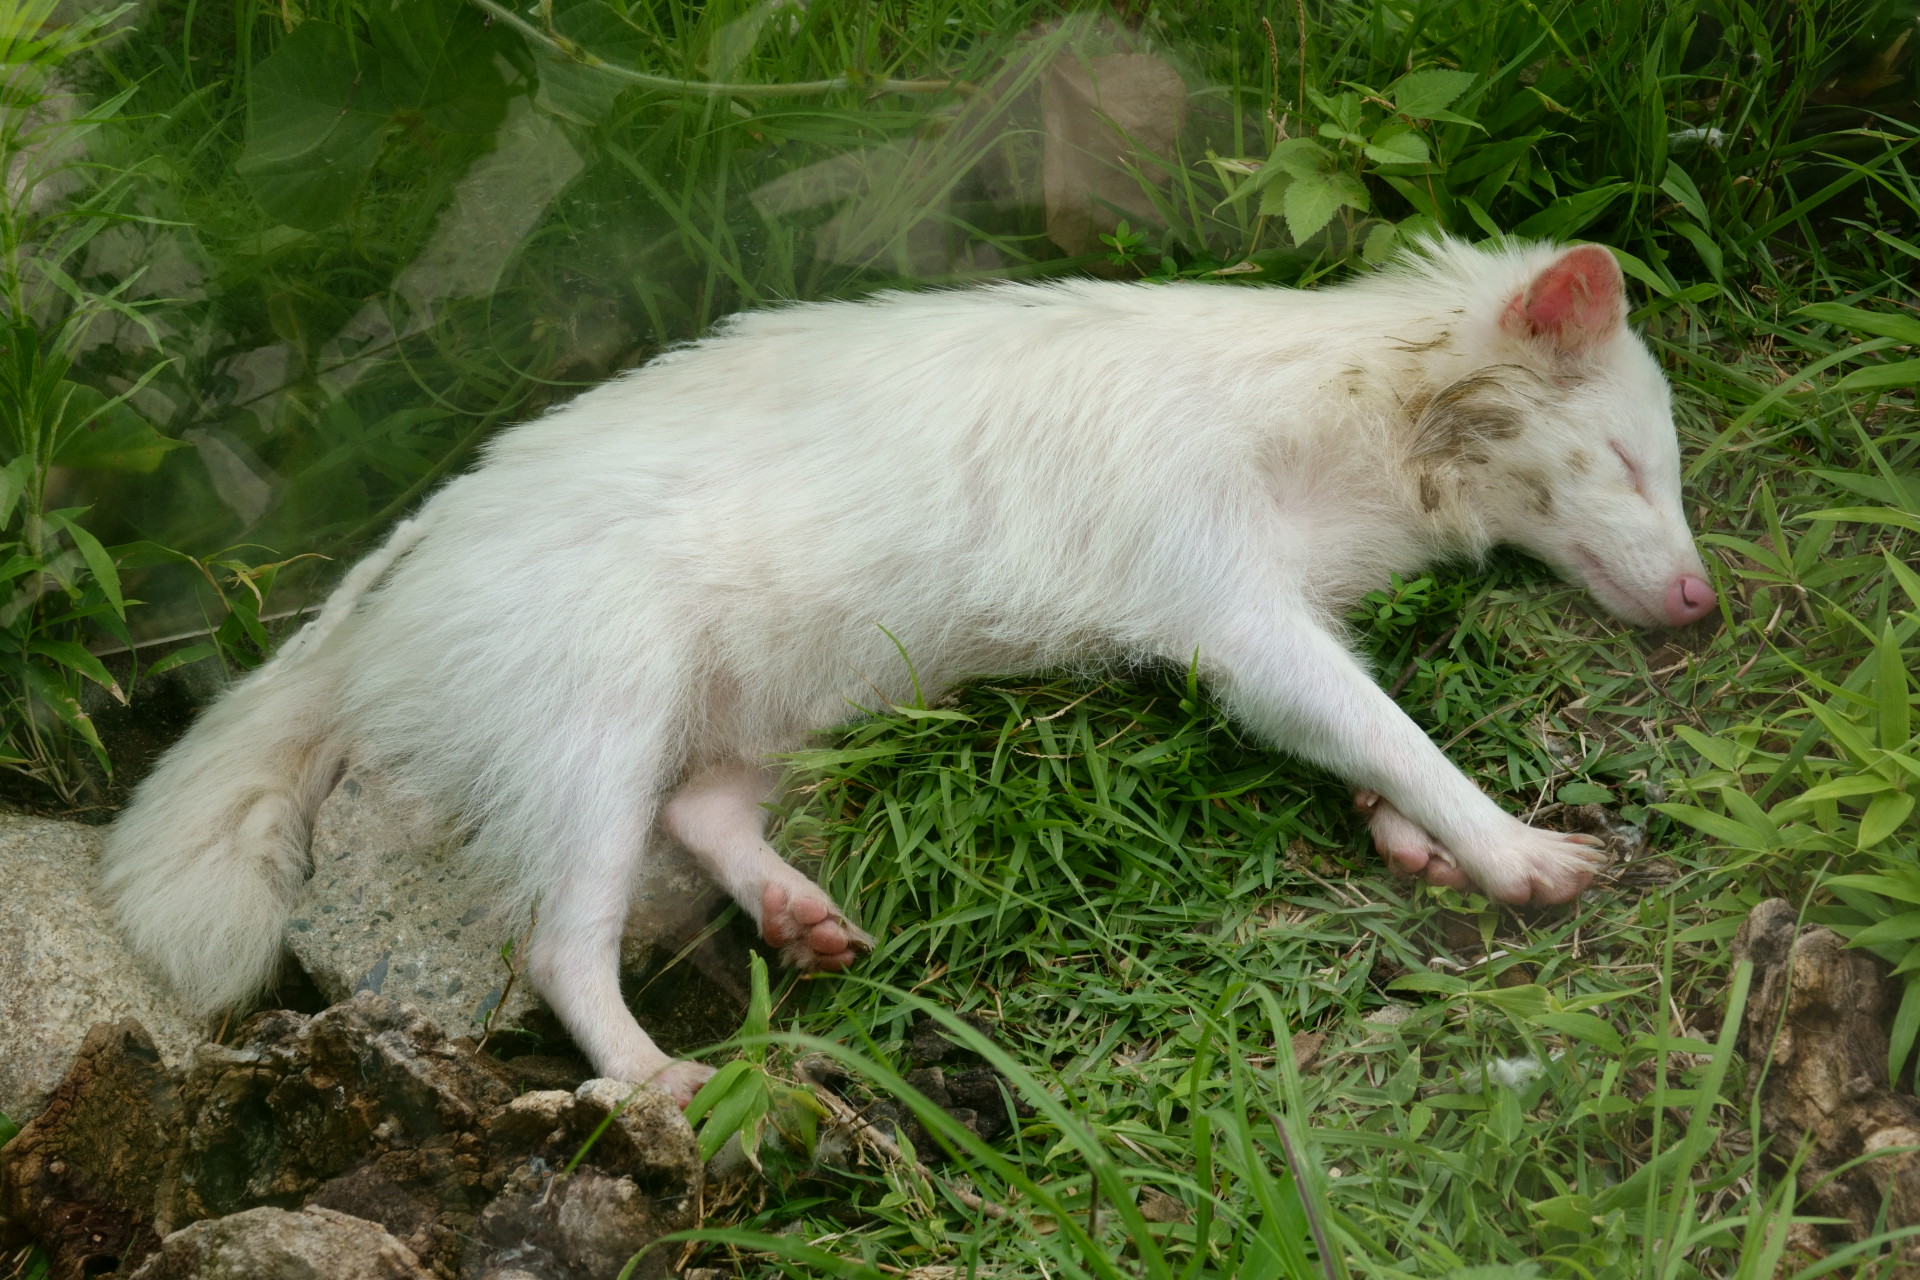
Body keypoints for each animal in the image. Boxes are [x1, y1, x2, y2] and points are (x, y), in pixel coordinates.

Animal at [101, 237, 1728, 1105]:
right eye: (1630, 460)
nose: (1704, 606)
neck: (1348, 423)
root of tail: (413, 542)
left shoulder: (1296, 600)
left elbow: (1363, 731)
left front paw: (1415, 840)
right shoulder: (1218, 595)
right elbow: (1367, 720)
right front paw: (1515, 851)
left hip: (800, 690)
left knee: (703, 810)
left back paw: (796, 917)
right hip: (597, 719)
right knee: (563, 942)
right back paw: (658, 1078)